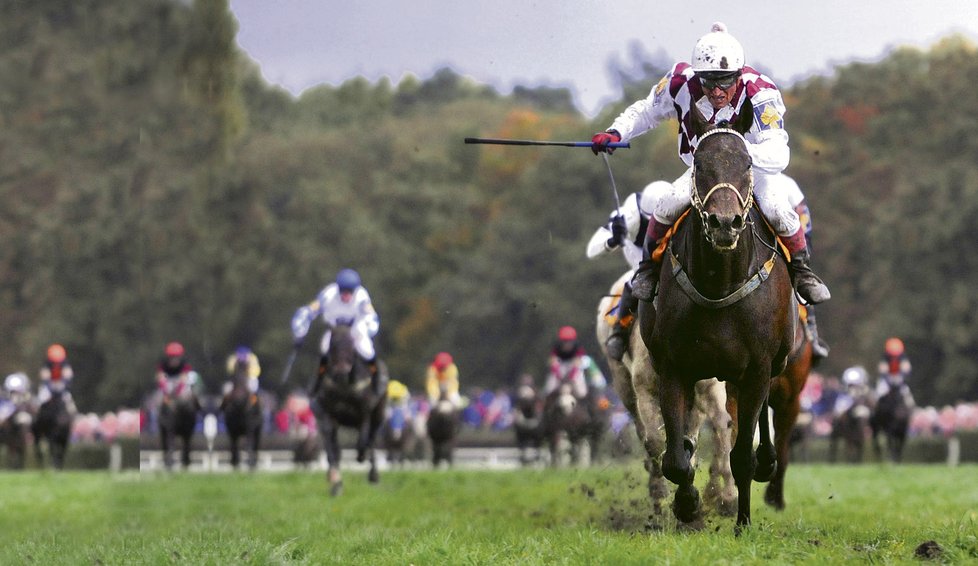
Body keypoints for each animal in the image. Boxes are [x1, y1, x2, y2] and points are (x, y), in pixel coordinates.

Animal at [314, 324, 386, 496]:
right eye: (332, 345)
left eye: (352, 346)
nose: (341, 372)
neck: (344, 387)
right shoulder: (328, 414)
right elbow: (332, 450)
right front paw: (335, 482)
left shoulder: (364, 413)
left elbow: (363, 443)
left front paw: (362, 457)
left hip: (379, 412)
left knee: (372, 438)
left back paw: (373, 473)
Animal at [596, 270, 732, 520]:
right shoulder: (646, 390)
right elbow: (656, 441)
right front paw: (665, 497)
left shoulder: (708, 388)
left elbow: (719, 426)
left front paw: (723, 499)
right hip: (624, 385)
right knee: (645, 434)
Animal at [636, 108, 796, 536]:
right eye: (700, 164)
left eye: (746, 163)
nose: (725, 223)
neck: (719, 282)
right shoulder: (673, 367)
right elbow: (676, 459)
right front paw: (688, 504)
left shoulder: (757, 368)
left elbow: (741, 455)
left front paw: (743, 523)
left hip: (772, 364)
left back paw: (767, 462)